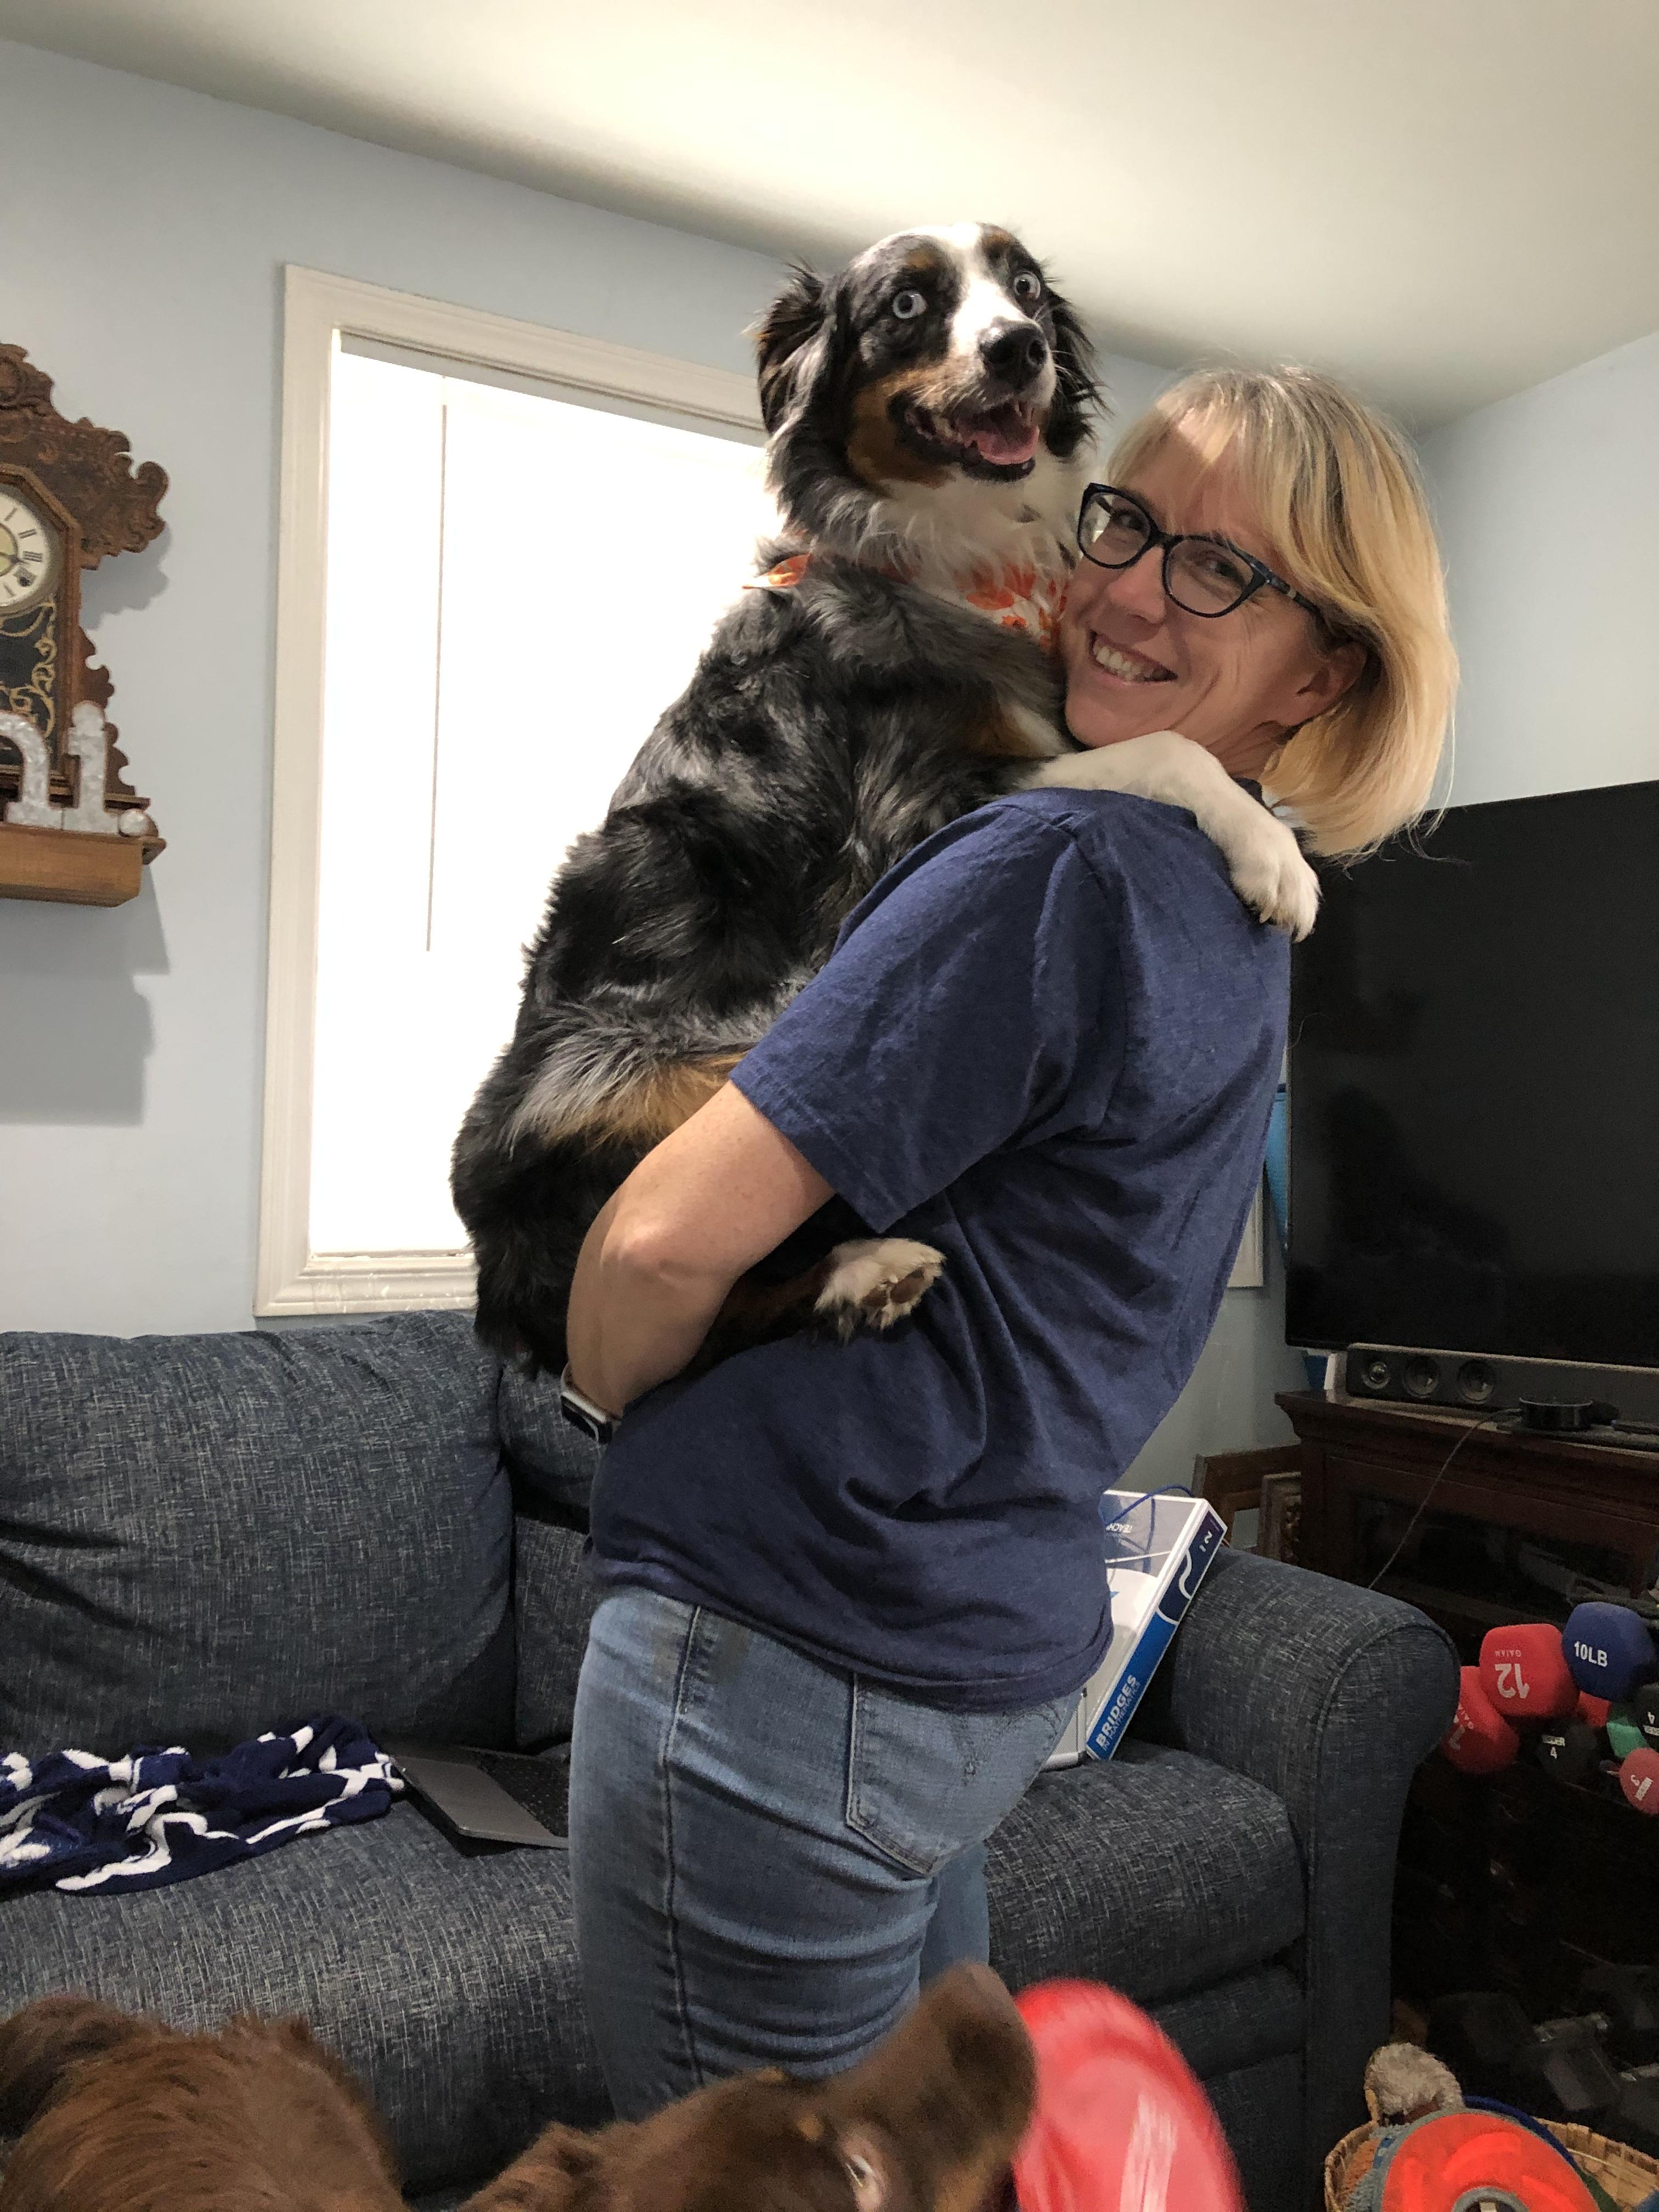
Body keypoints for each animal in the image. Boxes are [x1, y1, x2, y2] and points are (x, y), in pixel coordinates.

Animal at [451, 222, 1318, 1376]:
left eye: (1025, 288)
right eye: (906, 307)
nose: (1016, 348)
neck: (966, 555)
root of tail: (496, 1280)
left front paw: (1280, 820)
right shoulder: (910, 813)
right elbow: (1170, 748)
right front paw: (1276, 859)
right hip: (657, 1067)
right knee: (670, 1309)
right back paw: (859, 1275)